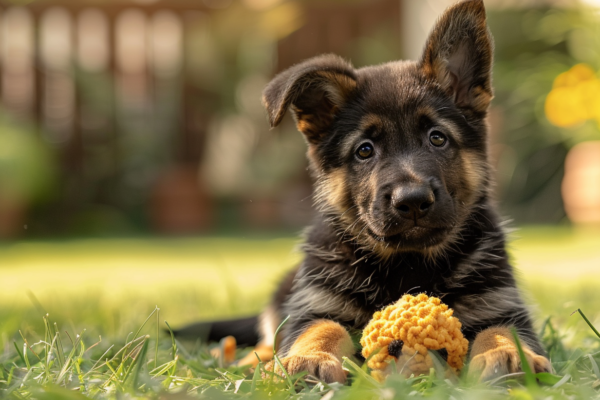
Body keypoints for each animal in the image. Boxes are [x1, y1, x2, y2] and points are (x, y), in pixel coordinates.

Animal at [177, 0, 548, 382]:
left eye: (437, 138)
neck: (408, 265)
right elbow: (321, 327)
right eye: (365, 150)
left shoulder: (501, 306)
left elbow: (503, 330)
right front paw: (308, 357)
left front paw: (507, 355)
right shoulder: (316, 304)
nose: (413, 202)